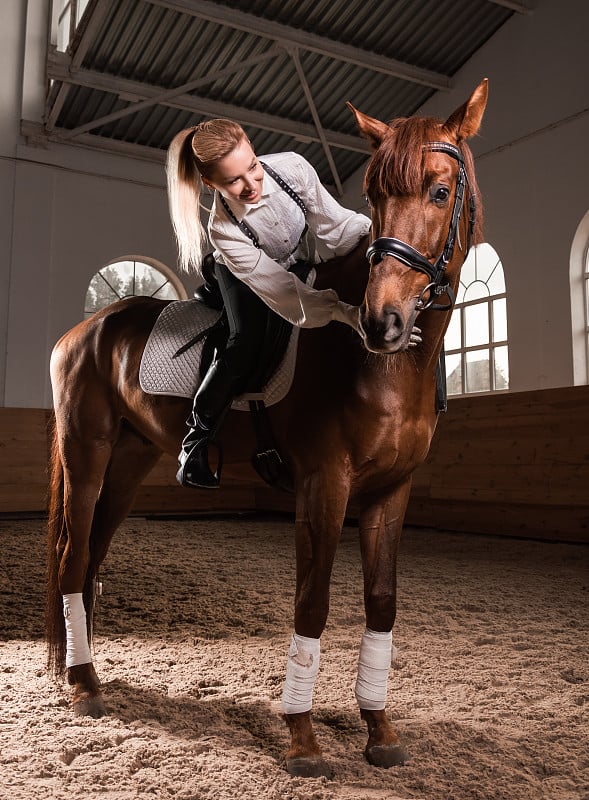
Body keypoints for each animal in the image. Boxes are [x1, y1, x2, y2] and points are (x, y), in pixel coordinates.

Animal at [44, 78, 486, 780]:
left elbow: (382, 602)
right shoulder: (323, 485)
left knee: (90, 559)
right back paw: (84, 686)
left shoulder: (392, 492)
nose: (381, 321)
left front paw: (379, 730)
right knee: (72, 557)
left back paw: (78, 672)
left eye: (441, 192)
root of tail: (85, 330)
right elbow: (312, 602)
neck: (378, 365)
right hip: (86, 453)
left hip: (130, 462)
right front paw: (303, 738)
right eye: (375, 196)